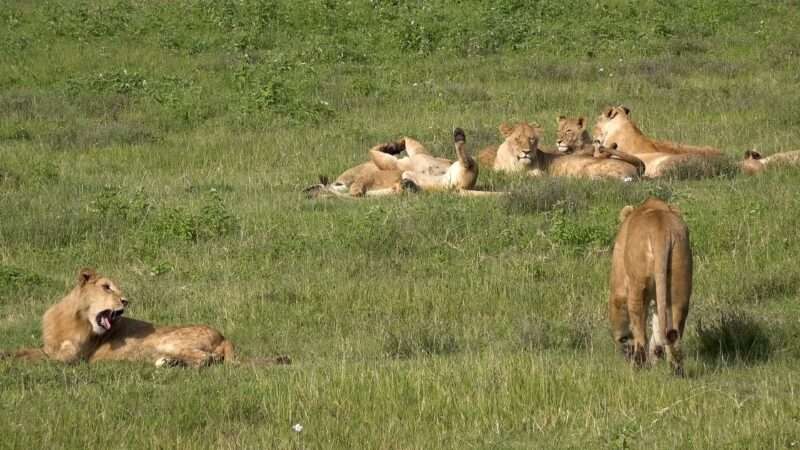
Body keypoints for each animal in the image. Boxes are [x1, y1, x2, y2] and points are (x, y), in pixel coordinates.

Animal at [1, 268, 290, 368]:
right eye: (106, 287)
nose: (125, 301)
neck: (76, 318)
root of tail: (224, 336)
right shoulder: (51, 347)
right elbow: (26, 350)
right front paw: (7, 354)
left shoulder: (73, 357)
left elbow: (37, 358)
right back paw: (171, 363)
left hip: (170, 340)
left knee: (205, 359)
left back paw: (173, 364)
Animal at [608, 199, 692, 374]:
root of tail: (661, 232)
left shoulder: (619, 280)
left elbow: (618, 306)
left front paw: (622, 340)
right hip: (680, 282)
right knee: (673, 331)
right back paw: (675, 369)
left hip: (638, 286)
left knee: (641, 334)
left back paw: (638, 367)